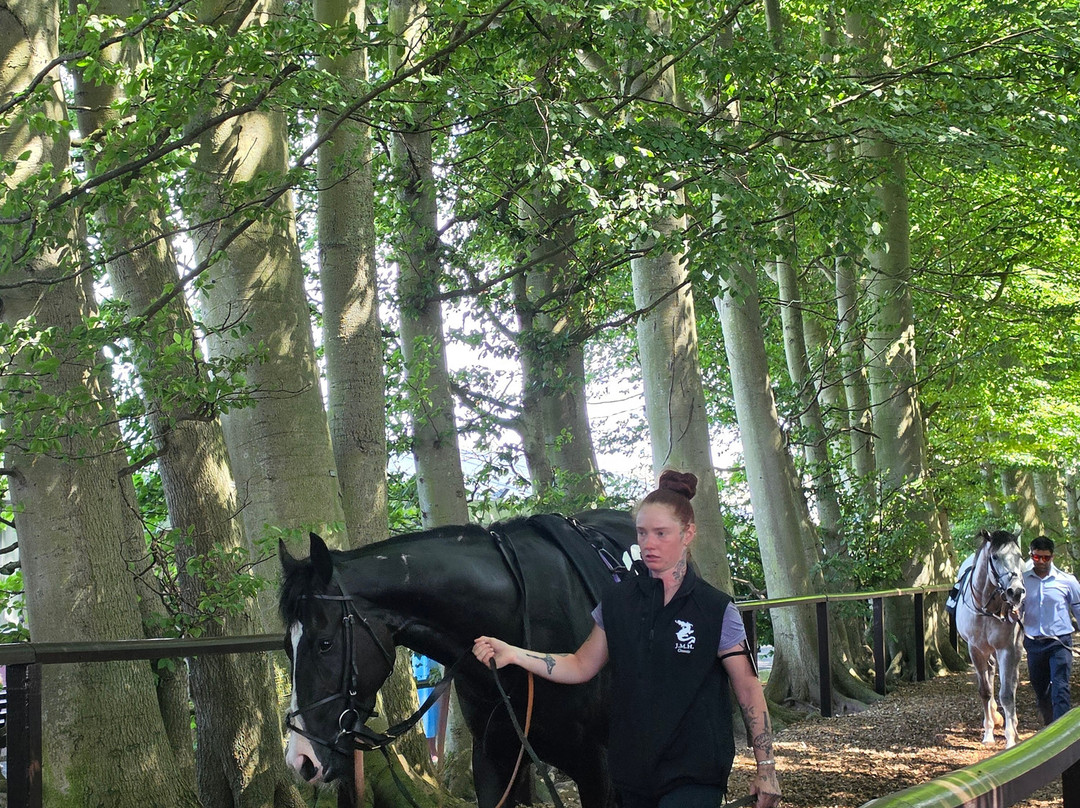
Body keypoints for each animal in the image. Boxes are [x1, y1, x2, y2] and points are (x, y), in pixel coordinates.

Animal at [954, 528, 1026, 747]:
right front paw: (988, 733)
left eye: (1019, 556)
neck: (986, 609)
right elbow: (985, 691)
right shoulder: (975, 650)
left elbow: (1007, 694)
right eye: (995, 556)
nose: (1016, 591)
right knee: (991, 672)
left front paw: (1011, 738)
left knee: (1013, 681)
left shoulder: (1007, 649)